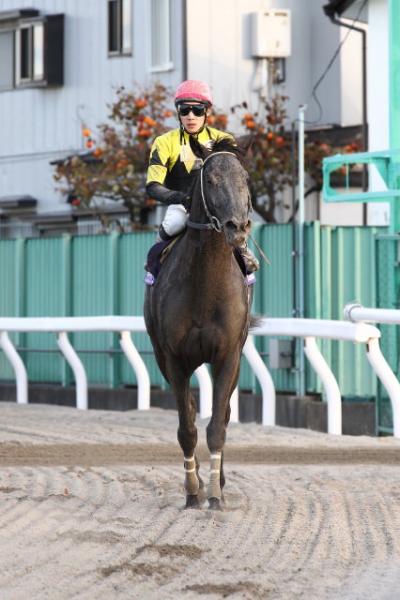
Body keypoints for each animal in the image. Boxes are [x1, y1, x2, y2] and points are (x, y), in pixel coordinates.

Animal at [144, 137, 253, 510]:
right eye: (211, 179)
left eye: (245, 178)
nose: (238, 227)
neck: (206, 287)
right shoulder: (175, 359)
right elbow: (187, 428)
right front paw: (194, 491)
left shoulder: (228, 357)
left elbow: (217, 425)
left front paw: (216, 494)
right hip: (163, 358)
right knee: (190, 411)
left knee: (226, 413)